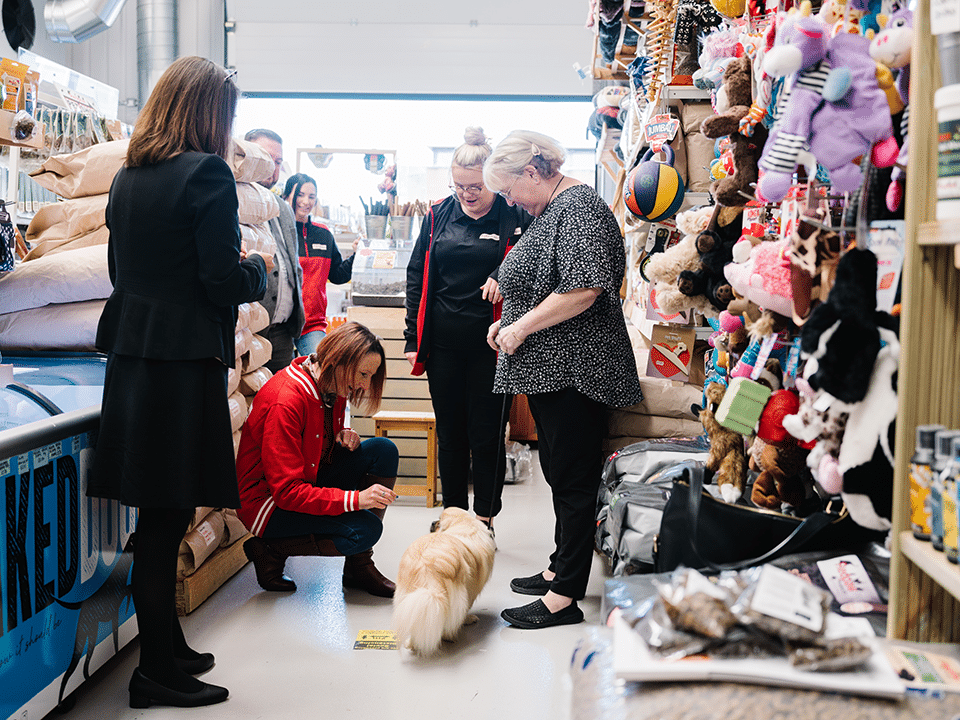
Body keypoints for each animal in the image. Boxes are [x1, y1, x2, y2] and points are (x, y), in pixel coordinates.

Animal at [390, 510, 496, 656]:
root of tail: (426, 568)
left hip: (407, 597)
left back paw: (411, 644)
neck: (465, 524)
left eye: (439, 523)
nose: (433, 522)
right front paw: (468, 619)